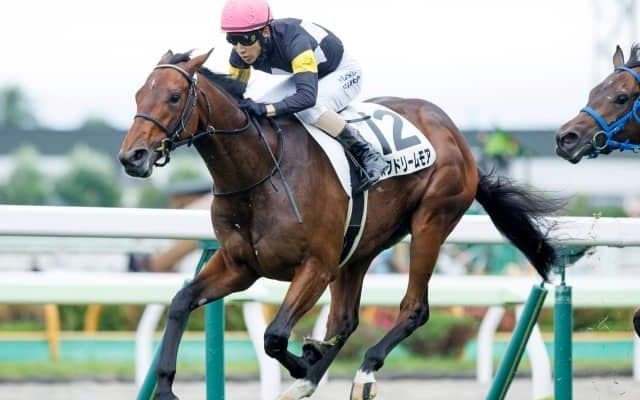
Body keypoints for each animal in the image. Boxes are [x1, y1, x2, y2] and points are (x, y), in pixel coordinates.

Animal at [119, 49, 562, 400]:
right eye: (139, 94)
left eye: (174, 96)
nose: (132, 157)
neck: (260, 172)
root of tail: (455, 135)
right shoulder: (239, 265)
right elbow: (181, 301)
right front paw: (165, 387)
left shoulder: (315, 265)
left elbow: (274, 335)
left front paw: (303, 361)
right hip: (359, 248)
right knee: (346, 319)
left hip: (431, 221)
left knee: (414, 308)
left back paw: (362, 371)